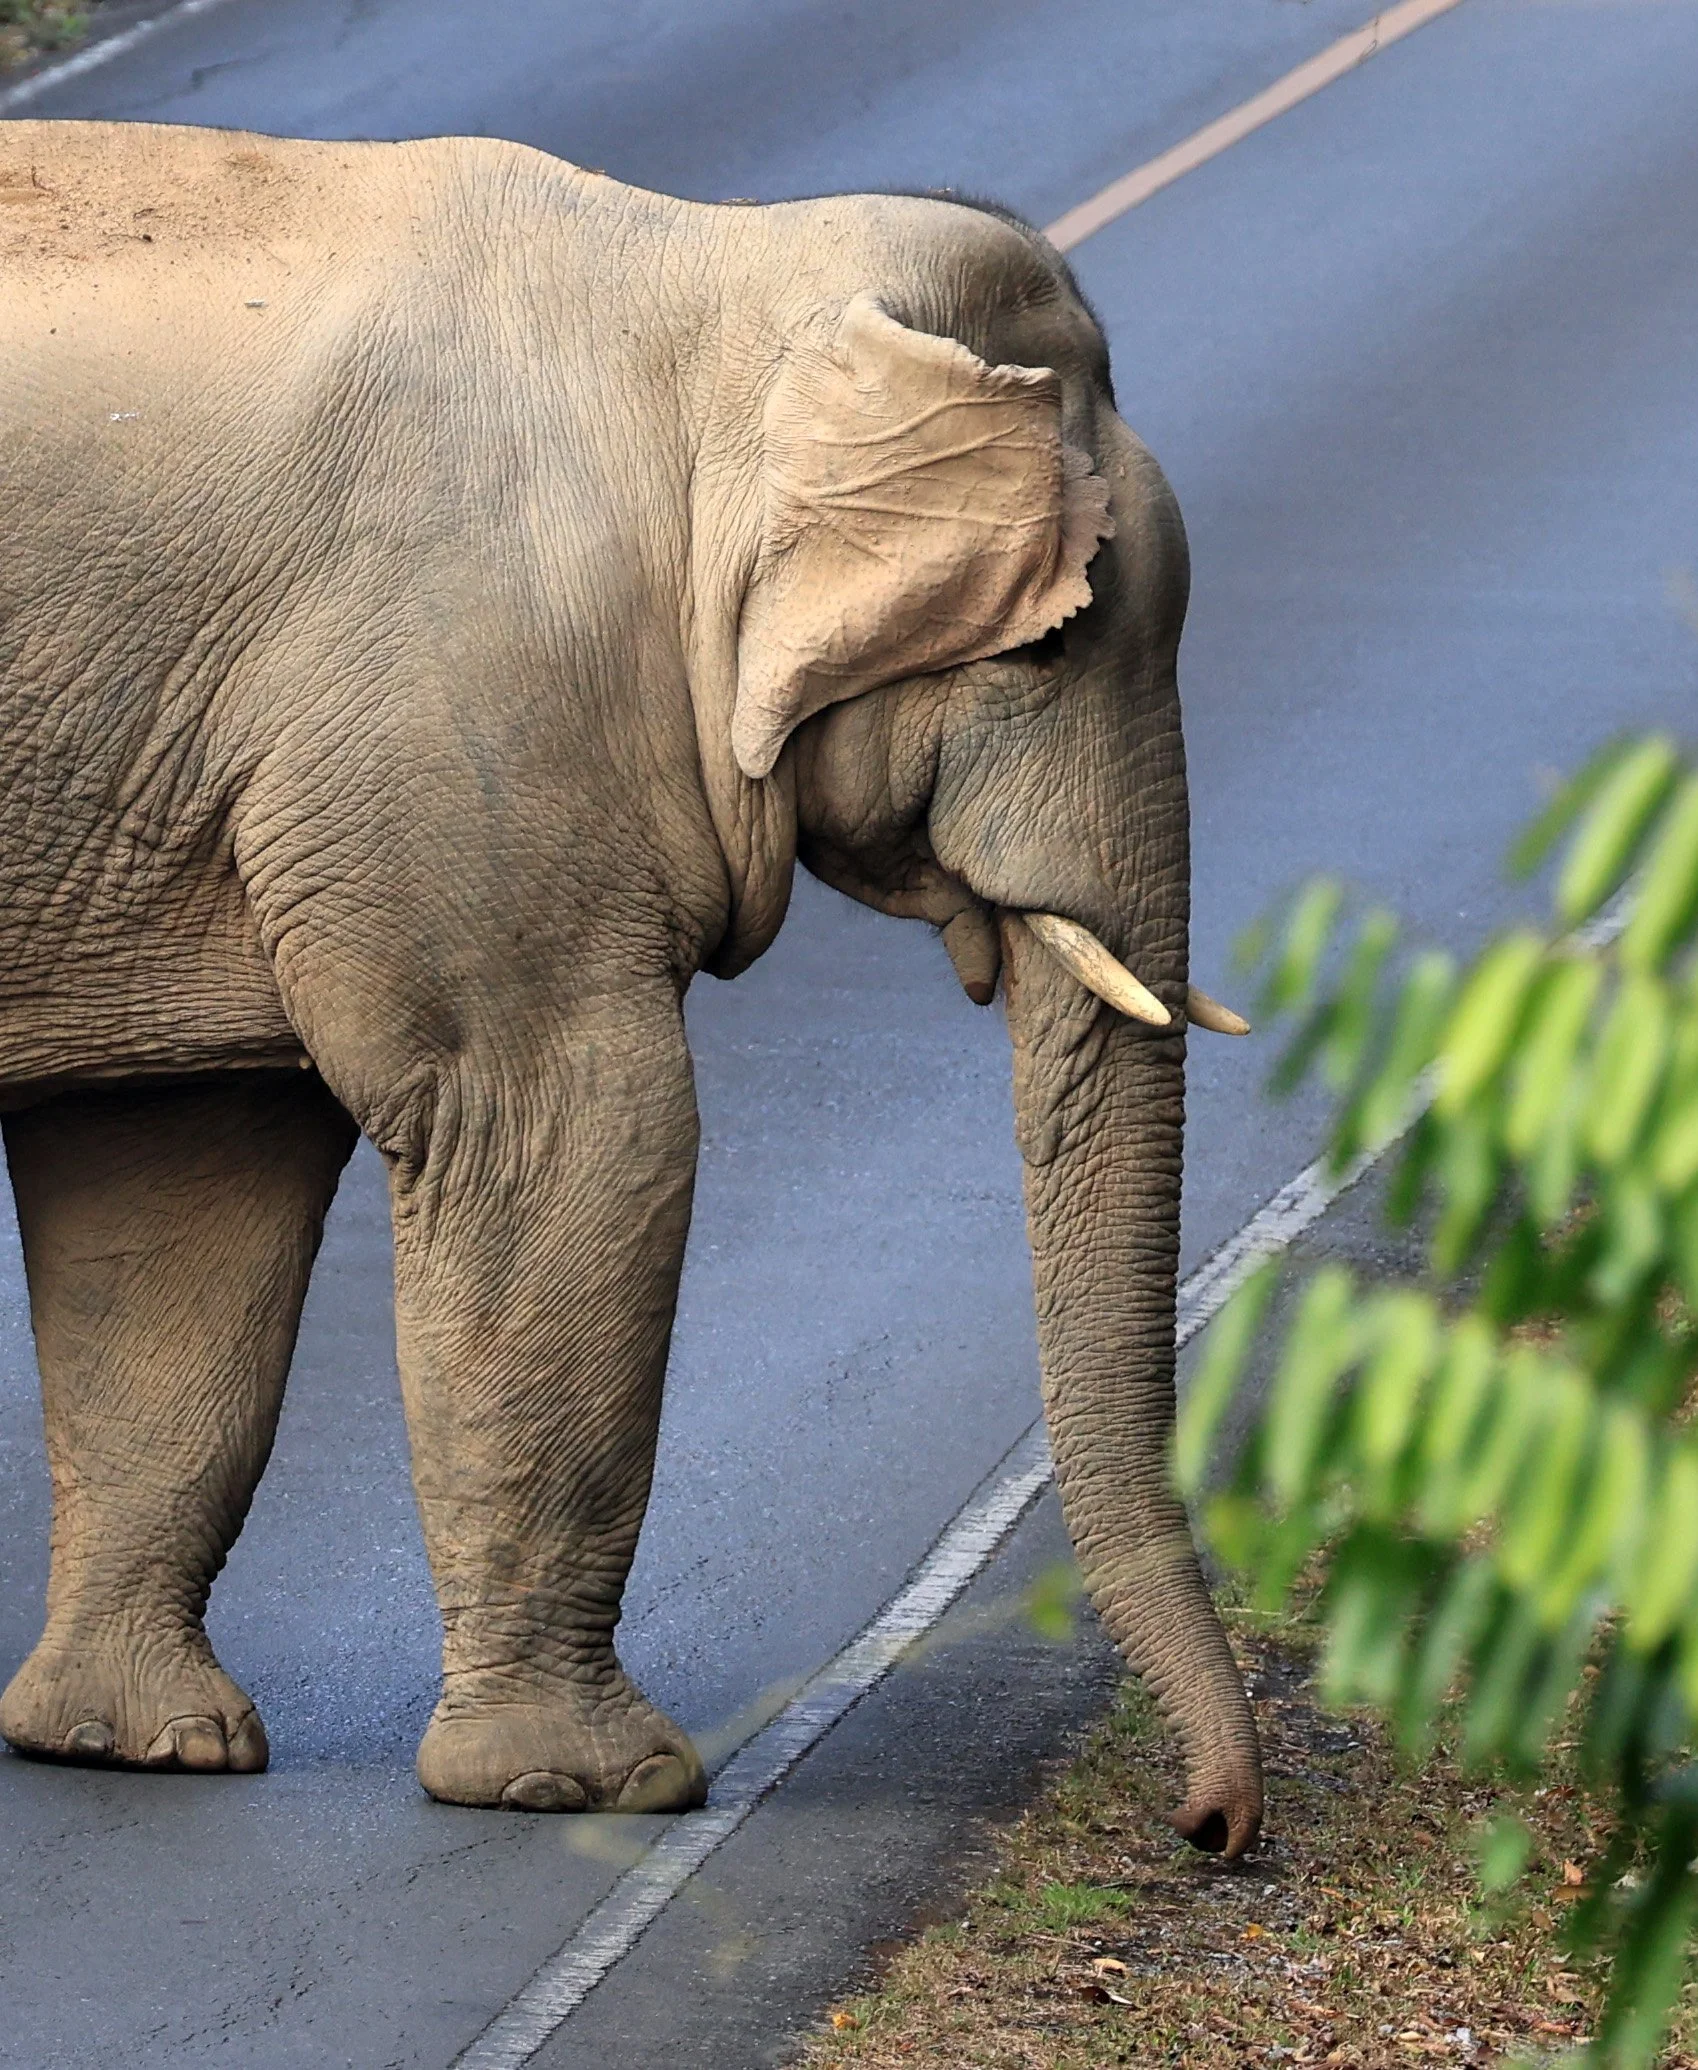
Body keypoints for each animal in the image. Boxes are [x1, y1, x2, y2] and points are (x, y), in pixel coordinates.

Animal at [0, 119, 1263, 1853]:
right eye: (1047, 648)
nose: (1209, 1826)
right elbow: (565, 1131)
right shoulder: (469, 713)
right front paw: (589, 1787)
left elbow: (175, 1191)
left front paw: (138, 1746)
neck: (717, 271)